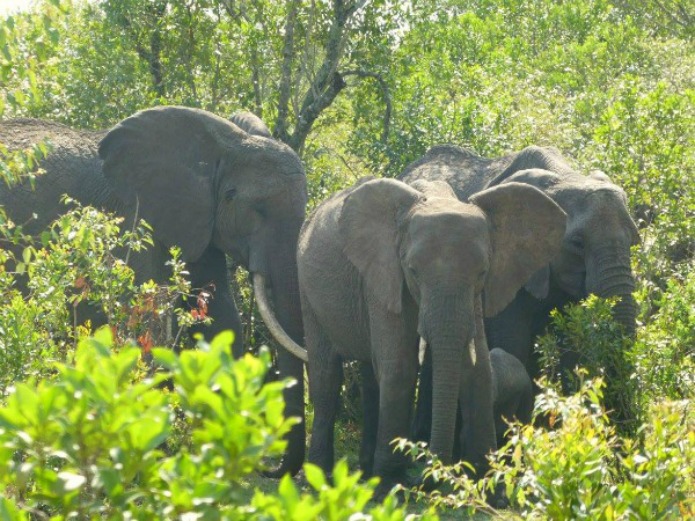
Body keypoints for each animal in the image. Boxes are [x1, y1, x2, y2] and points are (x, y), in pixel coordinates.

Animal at [0, 105, 310, 476]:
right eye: (252, 208)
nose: (269, 468)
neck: (222, 146)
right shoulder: (128, 220)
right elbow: (140, 321)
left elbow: (221, 322)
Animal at [296, 177, 568, 490]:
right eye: (413, 271)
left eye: (482, 272)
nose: (427, 478)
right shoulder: (385, 274)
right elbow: (400, 366)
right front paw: (390, 485)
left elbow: (477, 368)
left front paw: (484, 481)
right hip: (308, 291)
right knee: (326, 374)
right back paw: (321, 476)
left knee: (370, 375)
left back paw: (364, 471)